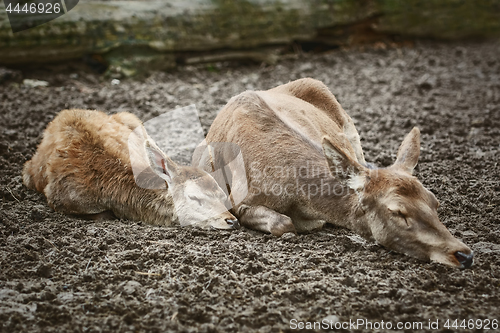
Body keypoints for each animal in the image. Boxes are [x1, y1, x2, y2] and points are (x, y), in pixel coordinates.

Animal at [23, 107, 240, 230]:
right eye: (195, 198)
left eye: (222, 195)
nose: (232, 221)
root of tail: (63, 113)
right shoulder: (57, 196)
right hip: (28, 173)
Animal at [193, 77, 474, 268]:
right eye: (398, 211)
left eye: (434, 201)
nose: (464, 254)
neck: (298, 196)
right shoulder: (239, 201)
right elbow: (283, 222)